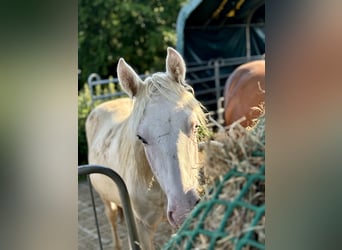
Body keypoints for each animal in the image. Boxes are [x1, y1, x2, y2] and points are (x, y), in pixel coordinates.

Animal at [87, 47, 207, 249]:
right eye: (141, 138)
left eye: (195, 126)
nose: (185, 209)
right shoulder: (141, 229)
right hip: (105, 198)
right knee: (112, 218)